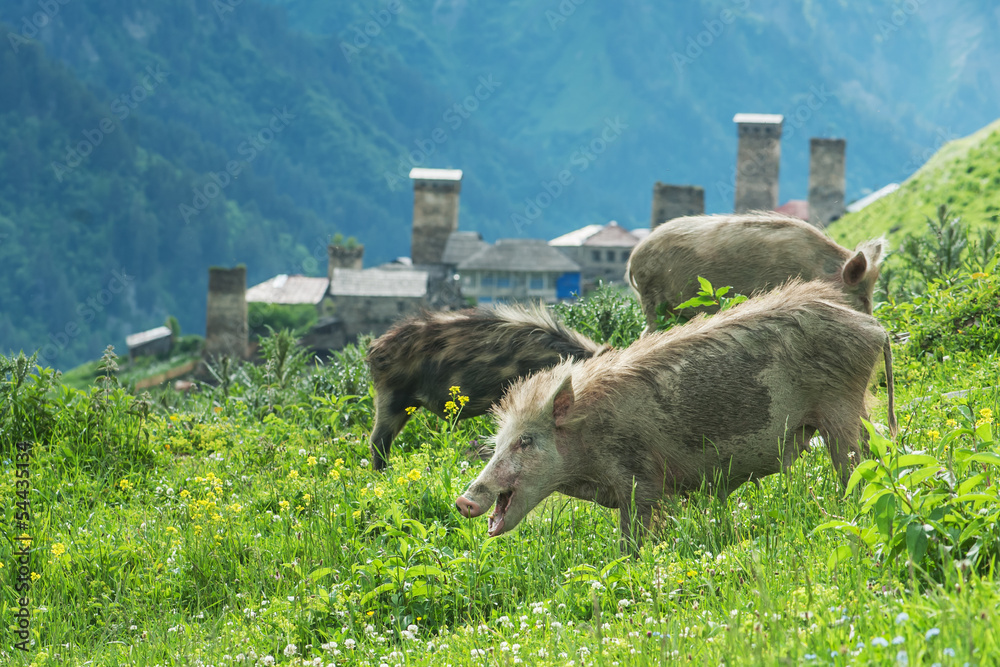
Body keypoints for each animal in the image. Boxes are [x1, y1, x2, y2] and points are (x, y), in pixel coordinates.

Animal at [454, 280, 900, 552]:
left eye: (525, 440)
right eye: (497, 443)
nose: (463, 500)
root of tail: (873, 327)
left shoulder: (639, 480)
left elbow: (635, 536)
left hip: (841, 406)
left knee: (858, 463)